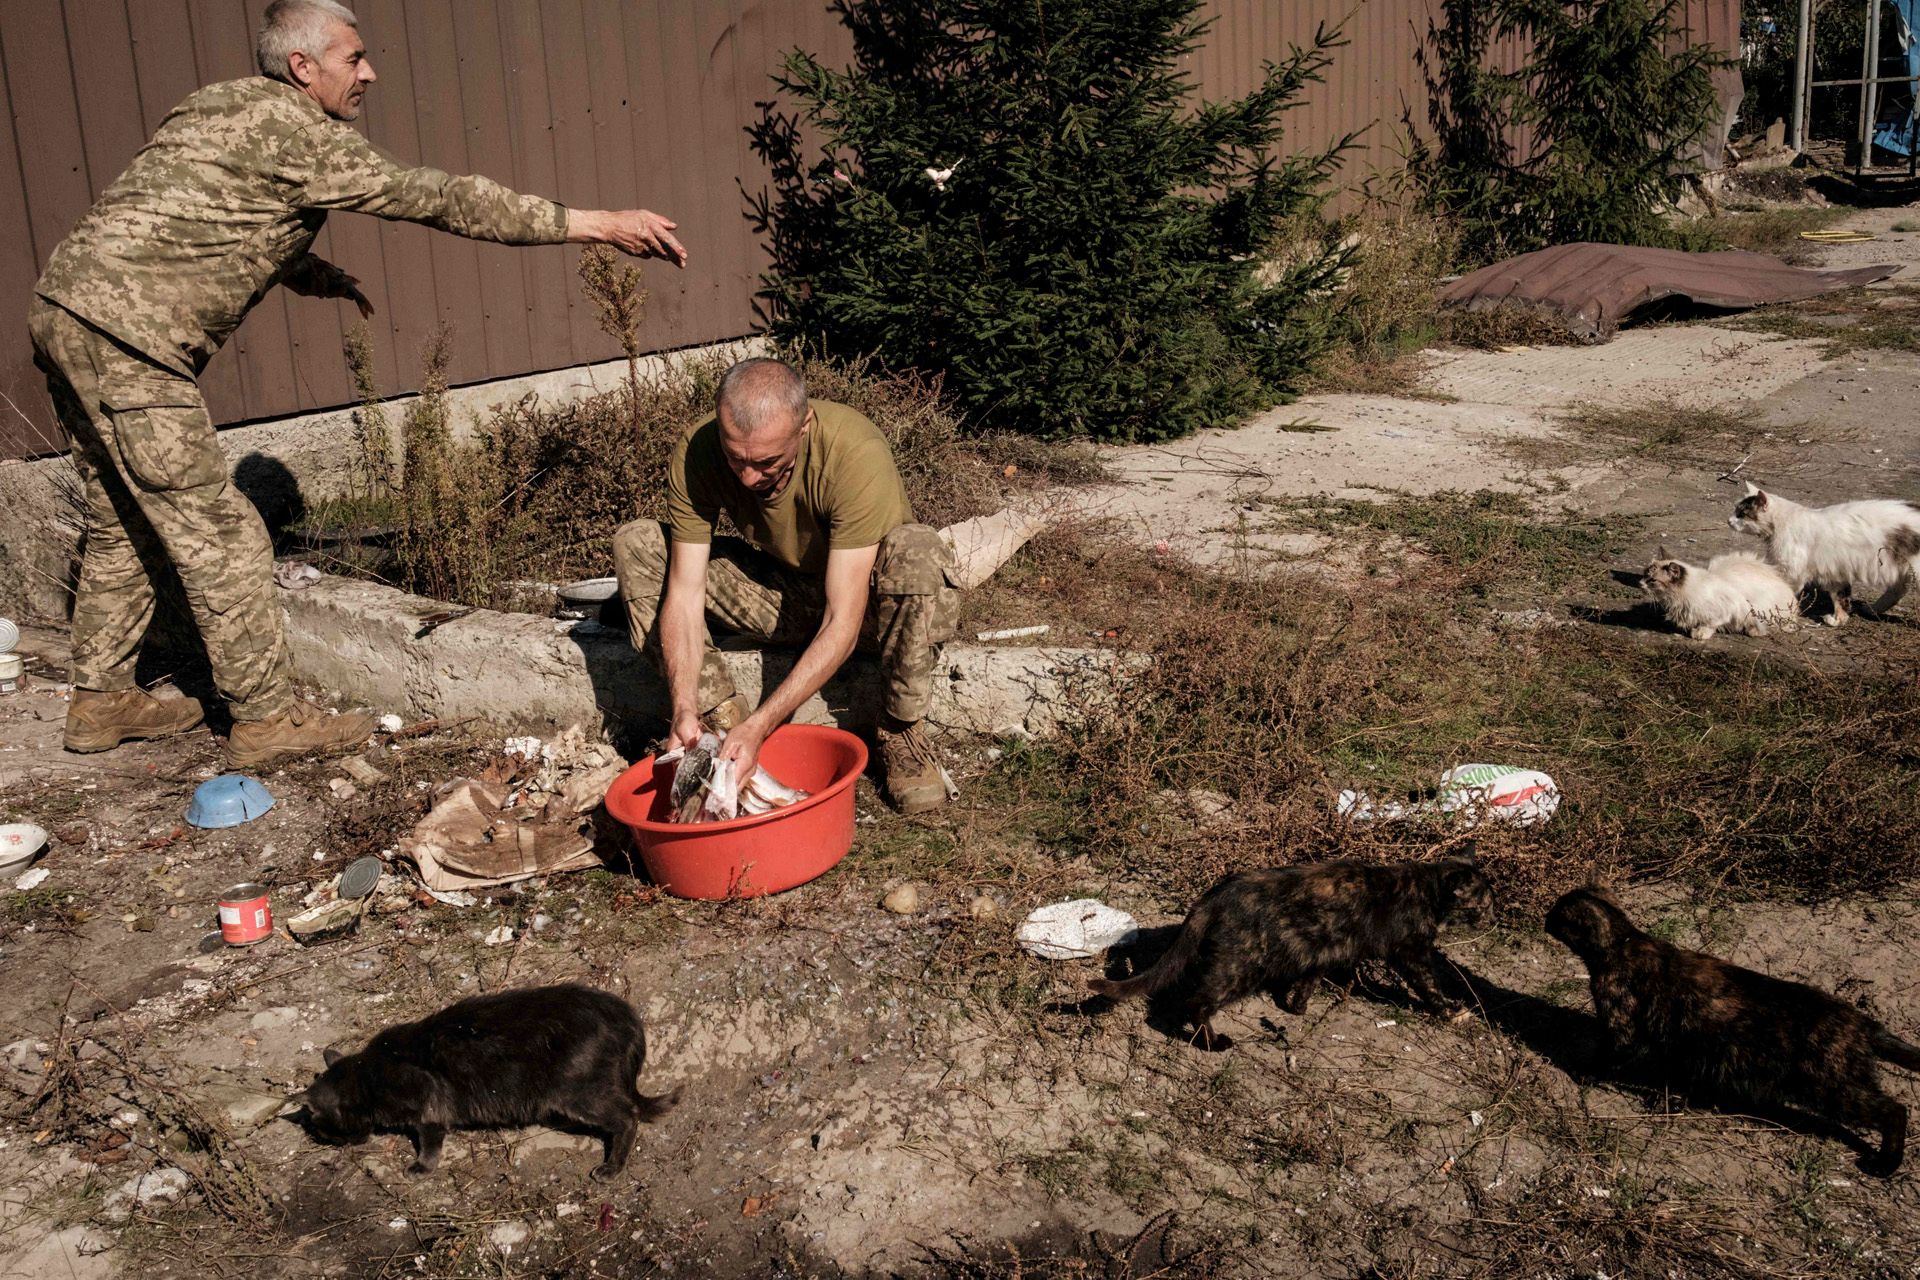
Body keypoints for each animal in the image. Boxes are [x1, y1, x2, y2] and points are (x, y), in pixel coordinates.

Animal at [296, 984, 678, 1179]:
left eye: (322, 1129)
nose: (332, 1144)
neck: (368, 1075)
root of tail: (624, 1013)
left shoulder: (428, 1099)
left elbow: (430, 1141)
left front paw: (421, 1167)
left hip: (578, 1090)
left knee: (627, 1116)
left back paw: (612, 1167)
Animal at [1089, 851, 1492, 1051]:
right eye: (1485, 903)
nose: (1493, 918)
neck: (1428, 893)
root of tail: (1214, 895)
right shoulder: (1410, 952)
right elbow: (1430, 984)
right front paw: (1450, 1009)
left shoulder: (1324, 950)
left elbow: (1310, 977)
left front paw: (1297, 1006)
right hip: (1243, 964)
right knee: (1195, 1003)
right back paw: (1213, 1044)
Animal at [1547, 887, 1918, 1176]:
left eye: (1556, 913)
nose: (1544, 918)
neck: (1623, 942)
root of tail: (1865, 1023)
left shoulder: (1622, 1027)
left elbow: (1608, 1055)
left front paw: (1584, 1073)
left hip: (1832, 1086)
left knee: (1894, 1110)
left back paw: (1885, 1164)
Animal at [1639, 547, 1799, 640]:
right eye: (1644, 574)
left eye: (1652, 580)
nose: (1640, 584)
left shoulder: (1727, 609)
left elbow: (1710, 624)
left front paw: (1700, 633)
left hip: (1759, 610)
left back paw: (1753, 631)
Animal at [1728, 482, 1920, 626]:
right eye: (1735, 510)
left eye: (1742, 514)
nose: (1729, 521)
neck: (1783, 523)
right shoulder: (1835, 573)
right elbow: (1840, 599)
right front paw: (1838, 620)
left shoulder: (1791, 571)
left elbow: (1784, 589)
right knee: (1898, 590)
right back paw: (1873, 609)